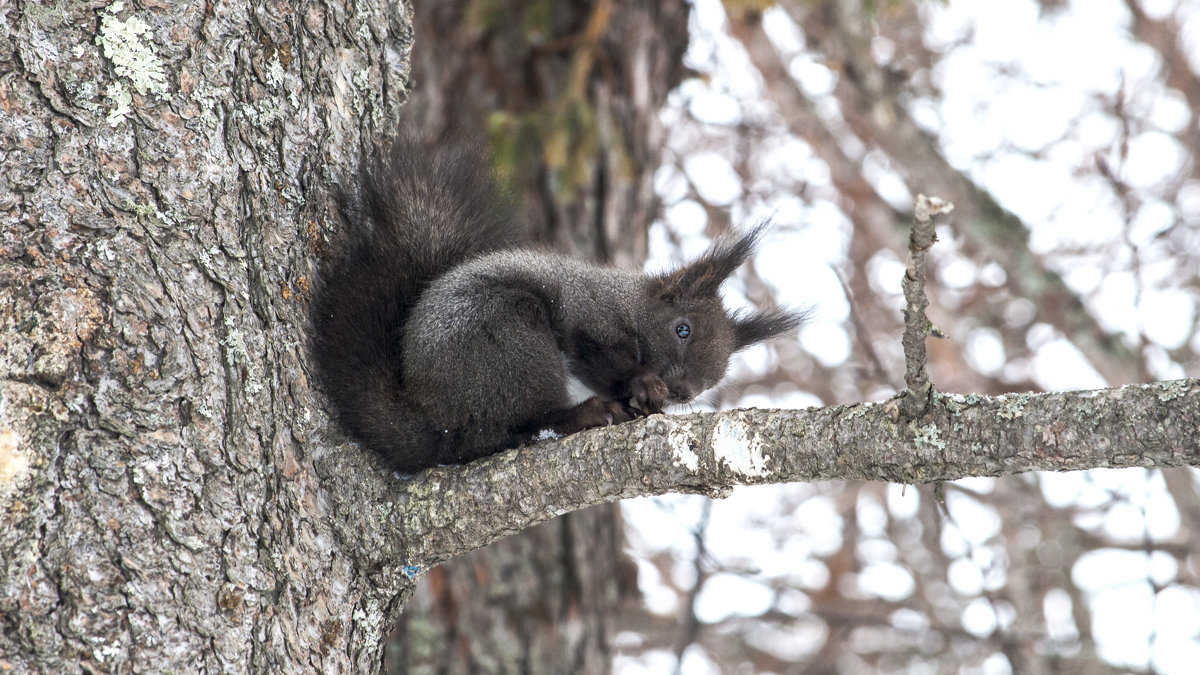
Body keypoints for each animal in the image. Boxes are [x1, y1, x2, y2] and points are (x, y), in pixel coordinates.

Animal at [314, 127, 811, 473]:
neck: (629, 305)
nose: (684, 392)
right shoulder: (587, 314)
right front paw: (642, 384)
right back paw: (584, 413)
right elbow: (597, 357)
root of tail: (433, 417)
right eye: (682, 328)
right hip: (507, 338)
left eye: (719, 375)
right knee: (506, 429)